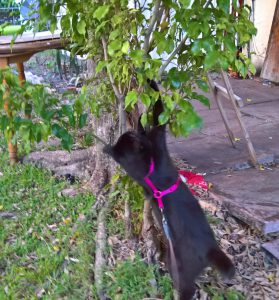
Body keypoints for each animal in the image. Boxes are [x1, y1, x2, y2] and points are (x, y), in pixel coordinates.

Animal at [104, 81, 235, 298]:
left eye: (128, 137)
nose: (133, 134)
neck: (149, 162)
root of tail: (211, 250)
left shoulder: (146, 145)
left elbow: (156, 115)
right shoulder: (153, 140)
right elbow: (155, 117)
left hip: (181, 268)